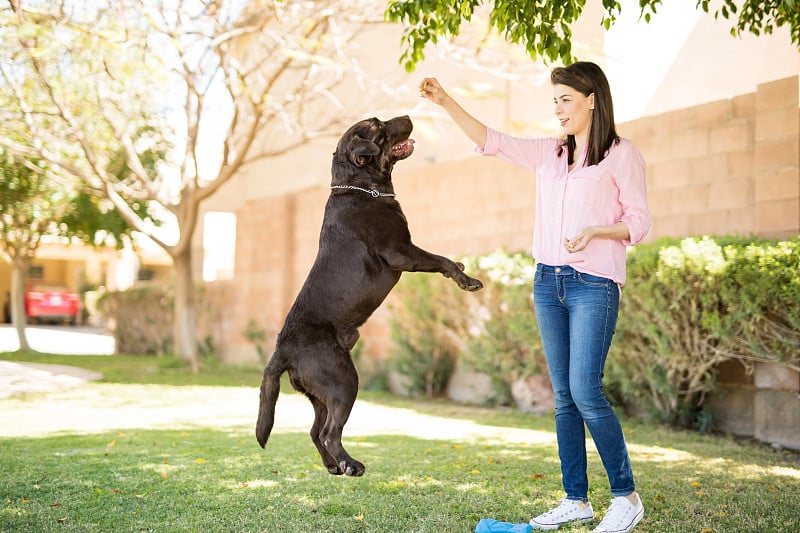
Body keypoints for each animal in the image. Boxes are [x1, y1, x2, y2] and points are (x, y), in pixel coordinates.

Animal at [256, 115, 482, 474]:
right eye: (378, 125)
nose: (408, 116)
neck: (360, 186)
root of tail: (282, 350)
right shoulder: (401, 251)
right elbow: (442, 261)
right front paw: (466, 279)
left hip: (322, 393)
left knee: (316, 431)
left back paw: (335, 466)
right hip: (343, 379)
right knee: (329, 433)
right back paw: (351, 464)